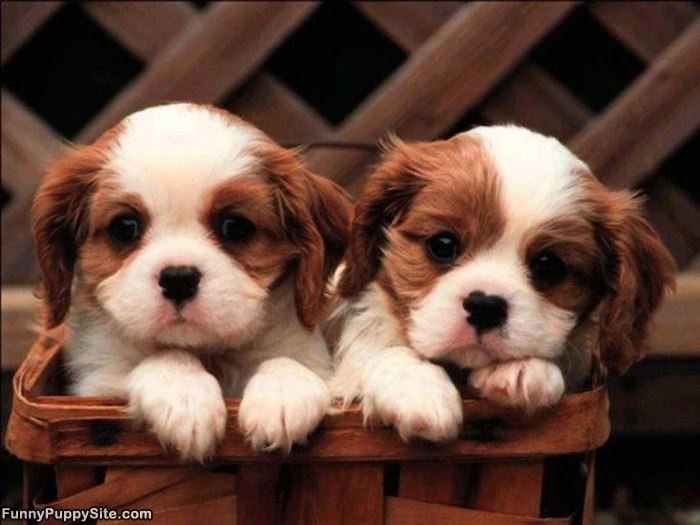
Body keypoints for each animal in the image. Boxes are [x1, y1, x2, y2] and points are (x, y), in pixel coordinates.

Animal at [32, 101, 350, 458]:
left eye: (235, 227)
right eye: (125, 227)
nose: (178, 279)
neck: (209, 353)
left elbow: (287, 360)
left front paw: (284, 394)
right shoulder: (97, 384)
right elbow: (168, 356)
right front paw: (184, 397)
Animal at [330, 125, 676, 440]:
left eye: (548, 266)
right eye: (443, 244)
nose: (485, 306)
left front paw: (524, 370)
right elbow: (382, 348)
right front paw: (417, 388)